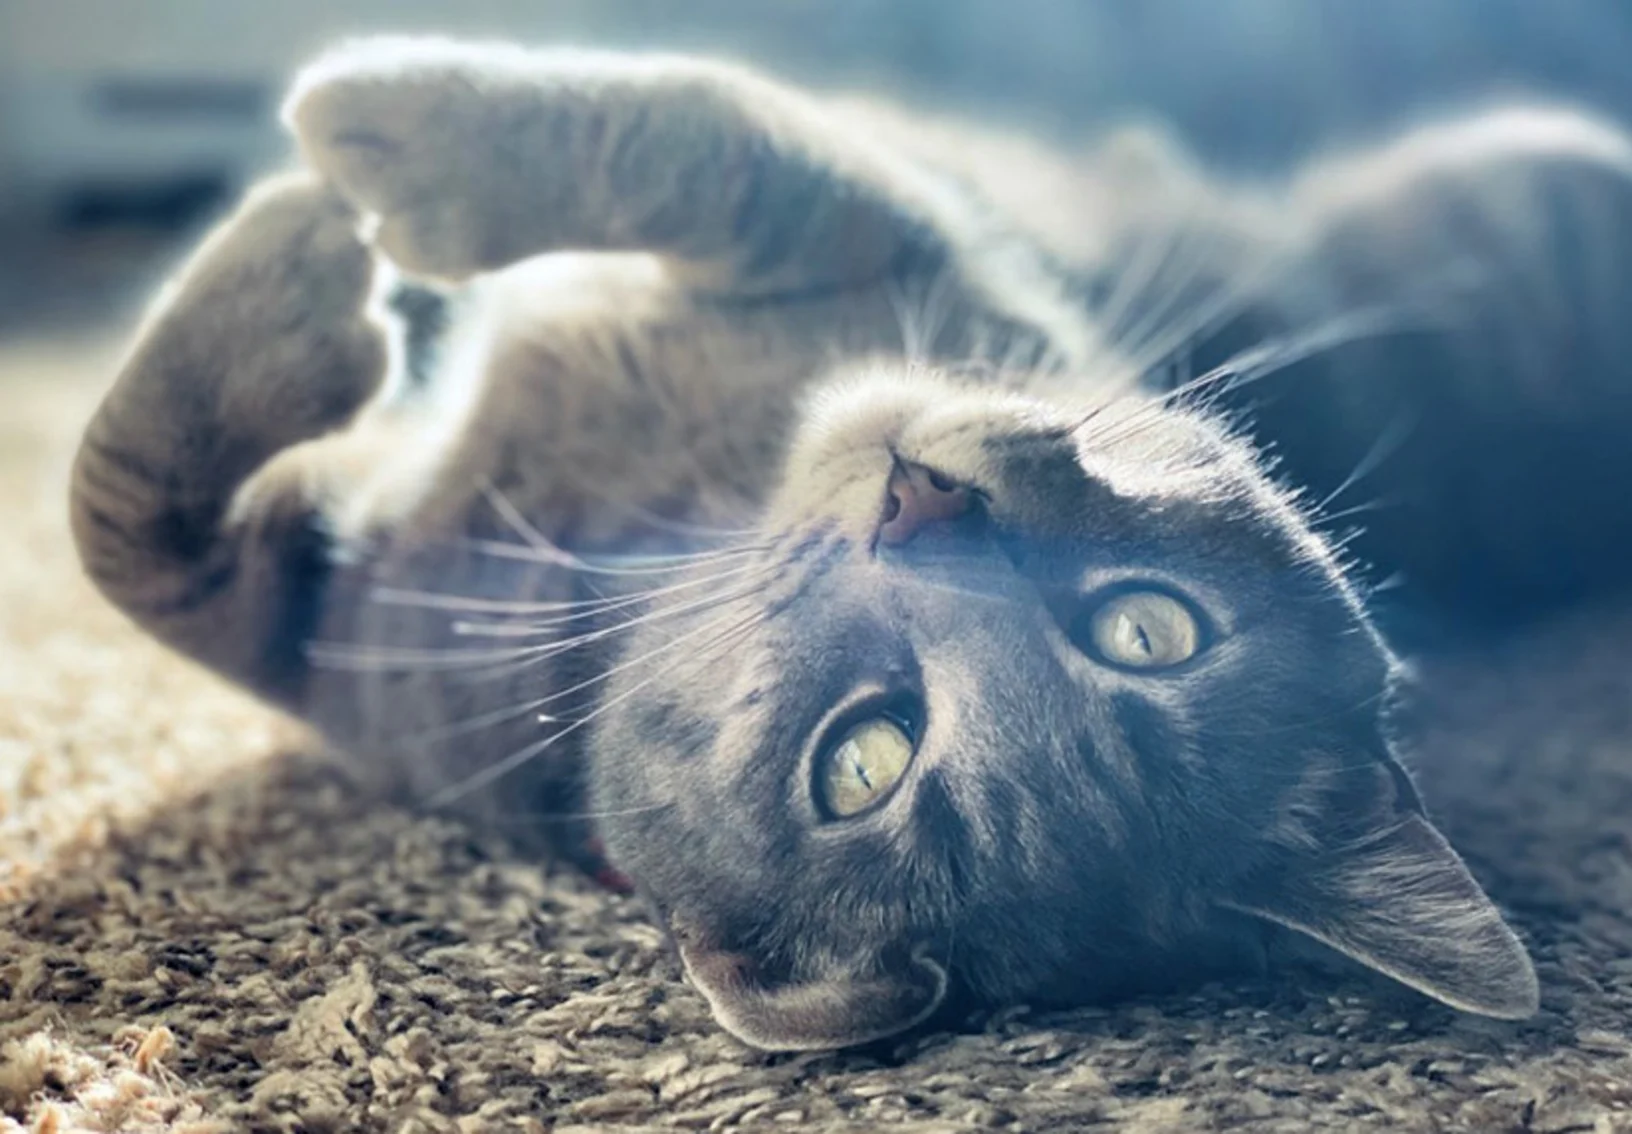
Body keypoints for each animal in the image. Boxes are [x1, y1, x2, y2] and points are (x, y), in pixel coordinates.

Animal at [63, 33, 1632, 1044]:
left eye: (863, 758)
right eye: (1149, 624)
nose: (924, 505)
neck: (681, 509)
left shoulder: (881, 224)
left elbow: (701, 140)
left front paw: (353, 160)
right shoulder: (341, 632)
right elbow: (128, 528)